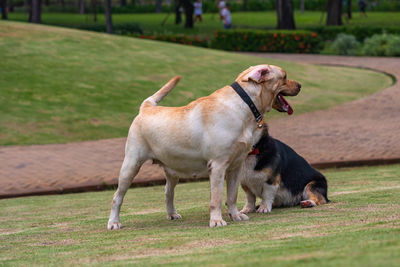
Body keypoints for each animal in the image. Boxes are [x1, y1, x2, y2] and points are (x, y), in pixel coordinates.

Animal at [106, 65, 300, 230]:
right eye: (284, 77)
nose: (300, 85)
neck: (243, 105)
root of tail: (146, 108)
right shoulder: (218, 165)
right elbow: (217, 198)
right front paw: (216, 220)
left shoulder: (236, 167)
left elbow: (232, 196)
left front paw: (236, 215)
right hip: (131, 165)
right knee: (117, 197)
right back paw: (114, 223)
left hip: (172, 170)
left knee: (168, 192)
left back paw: (172, 214)